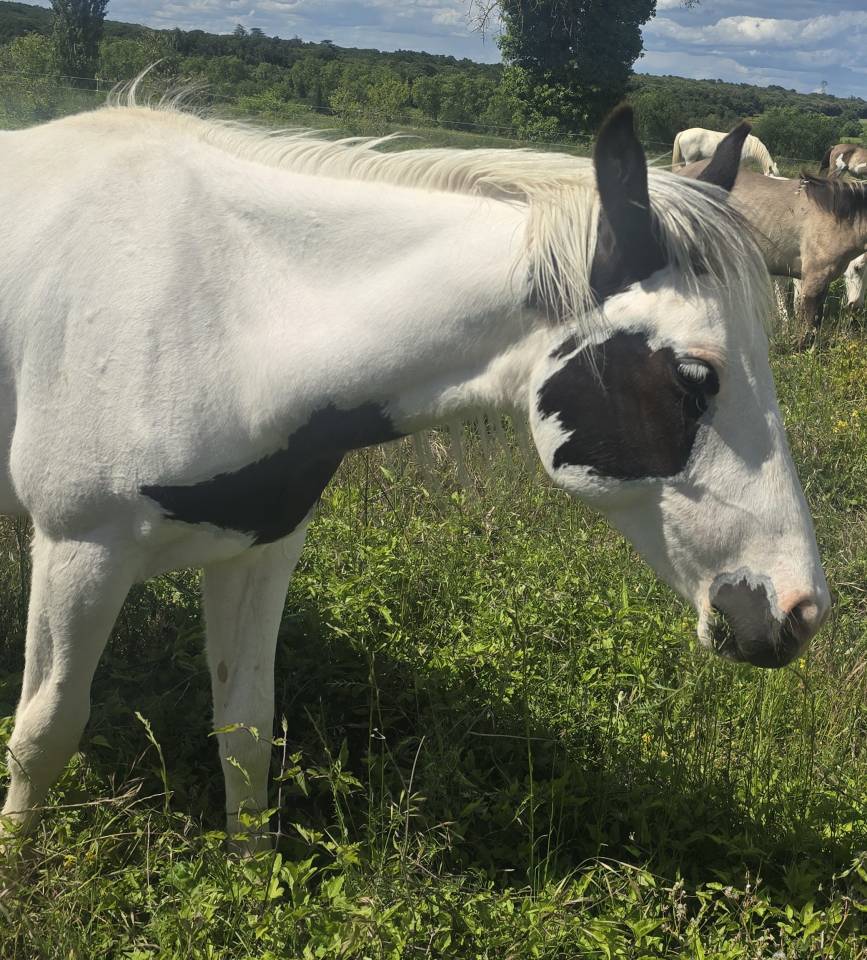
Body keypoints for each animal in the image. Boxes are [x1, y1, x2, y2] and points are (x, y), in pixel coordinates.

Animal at [0, 100, 829, 855]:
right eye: (694, 378)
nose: (797, 612)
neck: (221, 311)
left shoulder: (260, 548)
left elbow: (245, 726)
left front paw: (248, 875)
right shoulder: (82, 550)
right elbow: (45, 730)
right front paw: (18, 863)